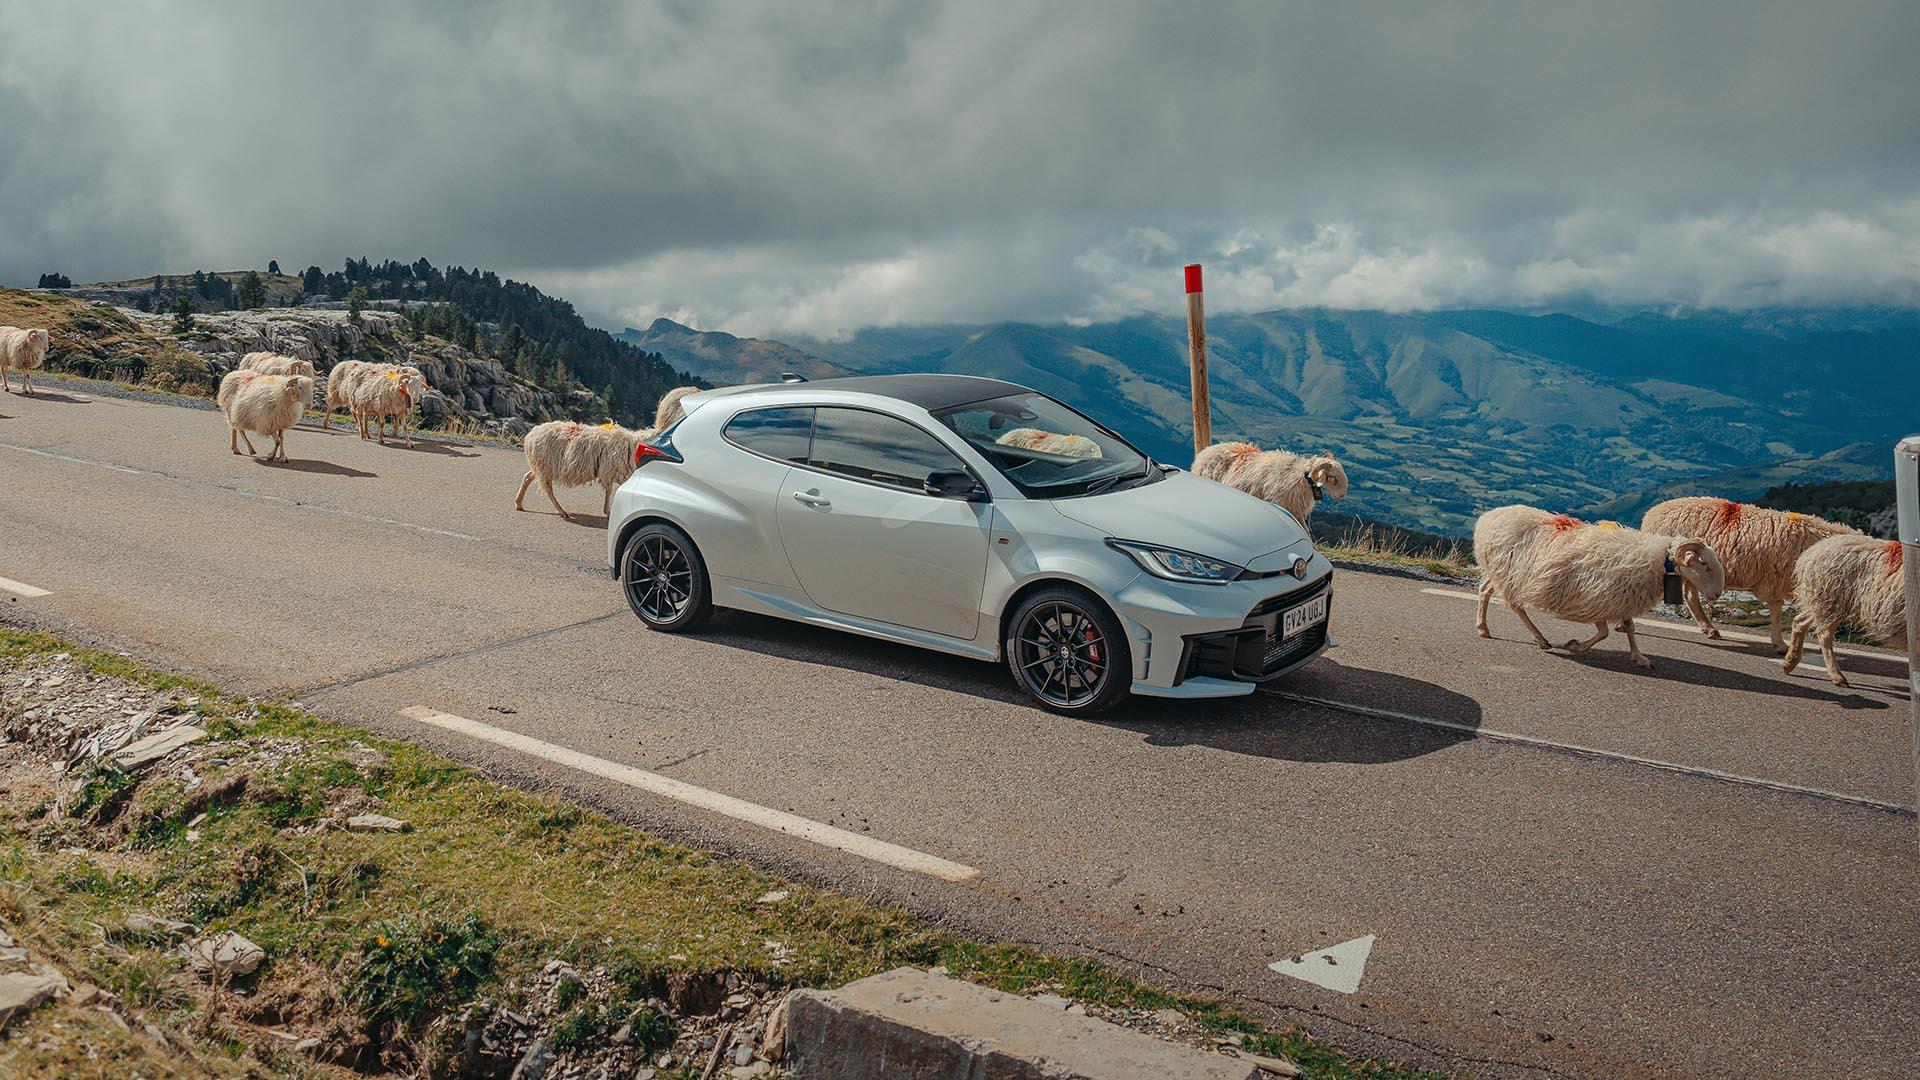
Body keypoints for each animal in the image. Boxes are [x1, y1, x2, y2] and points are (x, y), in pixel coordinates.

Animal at [514, 418, 656, 518]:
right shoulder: (612, 471)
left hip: (542, 467)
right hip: (545, 466)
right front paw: (609, 511)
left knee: (528, 477)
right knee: (547, 488)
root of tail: (531, 434)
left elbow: (610, 490)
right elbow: (610, 490)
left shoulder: (611, 472)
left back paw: (518, 503)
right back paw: (562, 511)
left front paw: (608, 511)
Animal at [1474, 503, 1735, 664]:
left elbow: (1629, 628)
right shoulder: (1595, 598)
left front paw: (1639, 657)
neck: (1657, 562)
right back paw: (1540, 638)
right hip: (1510, 575)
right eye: (1704, 564)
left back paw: (1483, 628)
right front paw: (1576, 646)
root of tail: (1488, 517)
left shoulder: (1622, 599)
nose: (1716, 594)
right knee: (1515, 605)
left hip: (1502, 572)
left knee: (1485, 590)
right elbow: (1604, 632)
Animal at [1643, 495, 1850, 645]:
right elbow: (1776, 610)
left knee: (1690, 596)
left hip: (1693, 573)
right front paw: (1780, 644)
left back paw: (1709, 629)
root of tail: (1653, 512)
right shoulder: (1775, 580)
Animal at [1781, 534, 1904, 684]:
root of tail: (1808, 554)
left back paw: (1789, 662)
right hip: (1833, 600)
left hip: (1827, 602)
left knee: (1800, 621)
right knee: (1824, 634)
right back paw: (1837, 676)